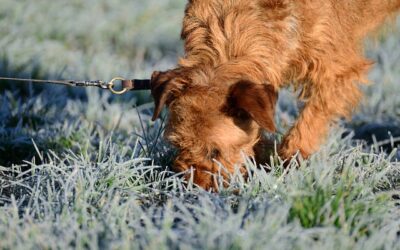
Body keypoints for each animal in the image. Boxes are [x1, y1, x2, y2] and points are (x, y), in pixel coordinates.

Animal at [149, 0, 400, 190]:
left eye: (215, 152)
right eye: (178, 145)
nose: (194, 189)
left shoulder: (336, 71)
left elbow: (308, 123)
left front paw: (287, 162)